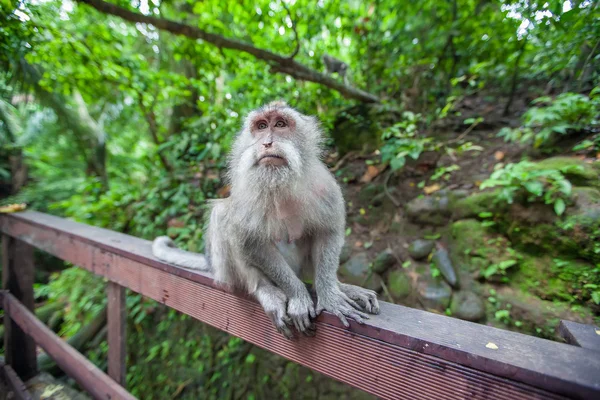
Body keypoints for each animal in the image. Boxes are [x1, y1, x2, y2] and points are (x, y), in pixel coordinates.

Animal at [155, 100, 380, 338]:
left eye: (280, 124)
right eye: (261, 126)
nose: (267, 143)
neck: (278, 183)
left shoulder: (324, 186)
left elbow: (328, 232)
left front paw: (330, 295)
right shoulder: (245, 193)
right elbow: (250, 242)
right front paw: (298, 295)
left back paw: (339, 287)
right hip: (225, 270)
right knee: (223, 216)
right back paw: (265, 289)